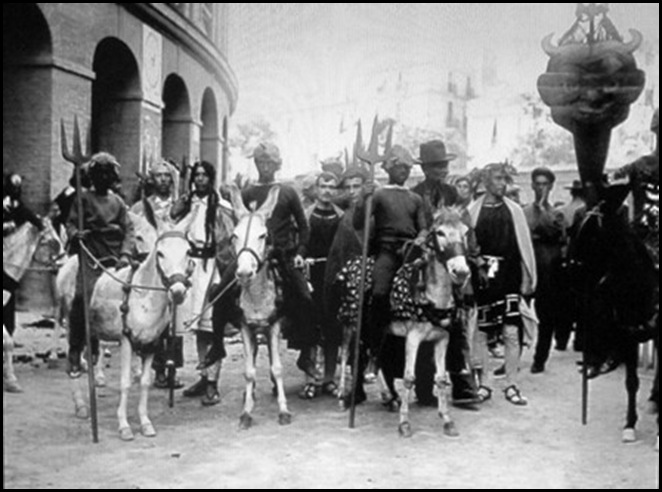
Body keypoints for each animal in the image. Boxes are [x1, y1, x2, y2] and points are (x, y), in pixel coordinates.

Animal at [70, 213, 195, 440]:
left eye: (188, 251)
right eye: (160, 253)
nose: (178, 291)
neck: (144, 296)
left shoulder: (151, 343)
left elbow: (145, 382)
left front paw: (145, 423)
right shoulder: (126, 339)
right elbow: (125, 383)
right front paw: (124, 426)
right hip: (75, 327)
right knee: (72, 361)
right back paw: (81, 405)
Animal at [230, 186, 292, 428]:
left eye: (263, 235)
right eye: (234, 235)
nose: (245, 273)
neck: (256, 297)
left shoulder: (274, 326)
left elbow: (278, 368)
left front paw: (283, 411)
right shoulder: (245, 327)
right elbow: (249, 371)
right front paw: (246, 412)